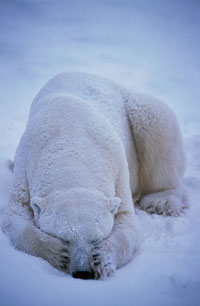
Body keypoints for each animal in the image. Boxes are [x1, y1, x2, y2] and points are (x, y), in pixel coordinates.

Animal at [0, 71, 187, 280]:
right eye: (64, 237)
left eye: (97, 238)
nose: (83, 272)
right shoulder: (26, 164)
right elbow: (15, 218)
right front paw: (57, 253)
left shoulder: (118, 170)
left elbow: (126, 221)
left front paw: (102, 259)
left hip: (136, 108)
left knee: (158, 127)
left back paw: (161, 201)